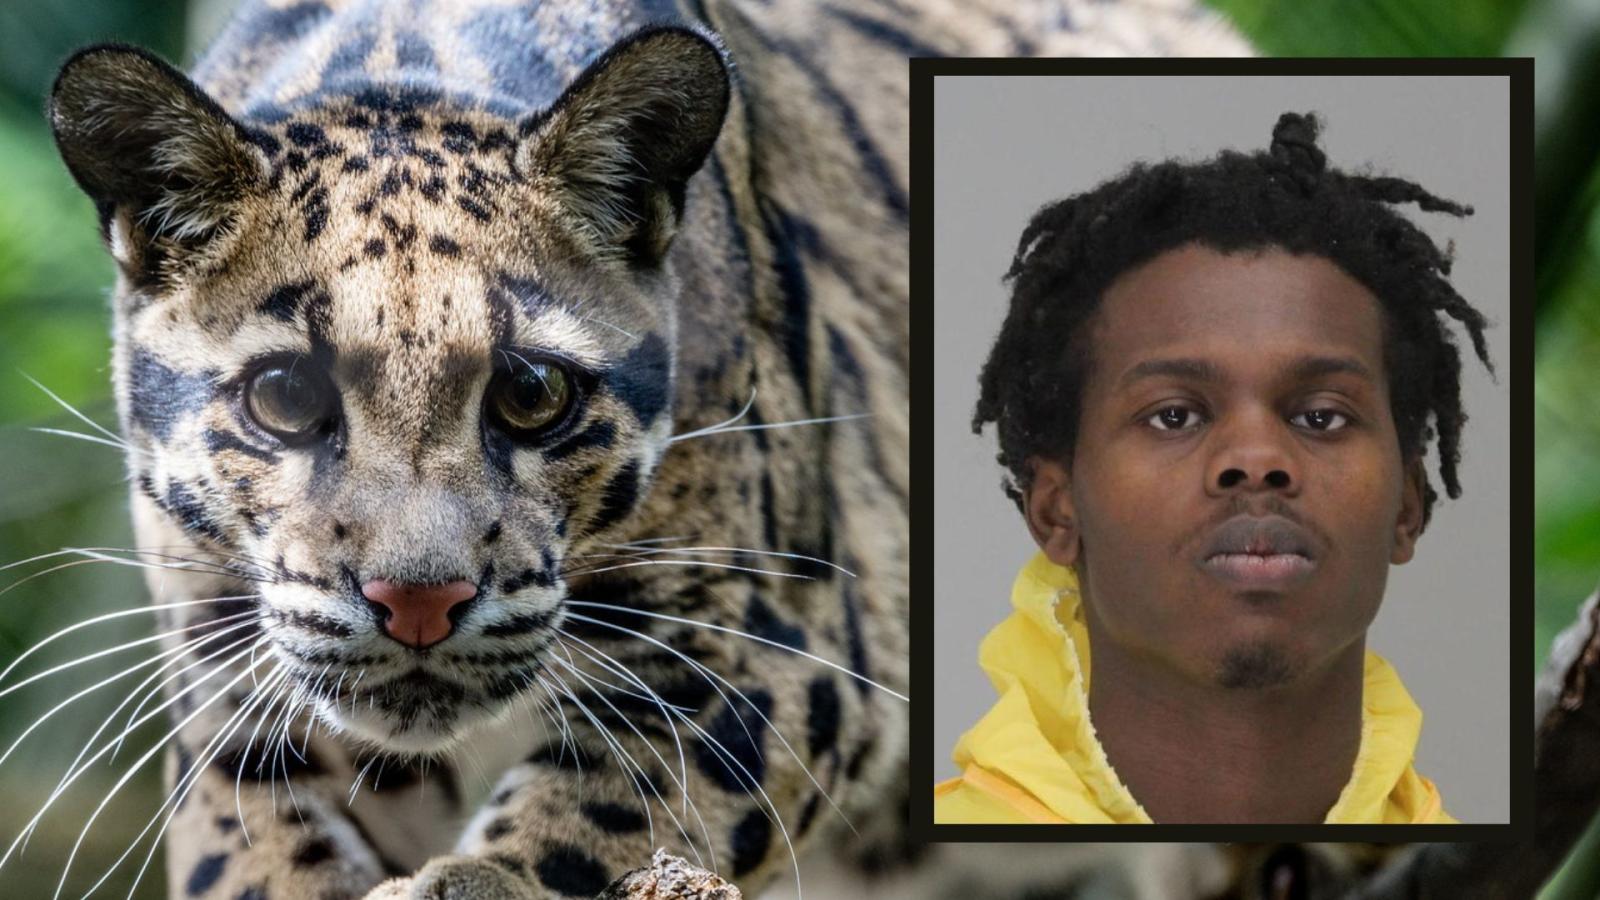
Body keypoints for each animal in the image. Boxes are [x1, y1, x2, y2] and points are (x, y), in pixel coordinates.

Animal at [28, 0, 1421, 897]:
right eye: (284, 396)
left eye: (530, 394)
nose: (418, 601)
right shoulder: (230, 693)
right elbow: (252, 850)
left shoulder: (783, 644)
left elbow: (606, 811)